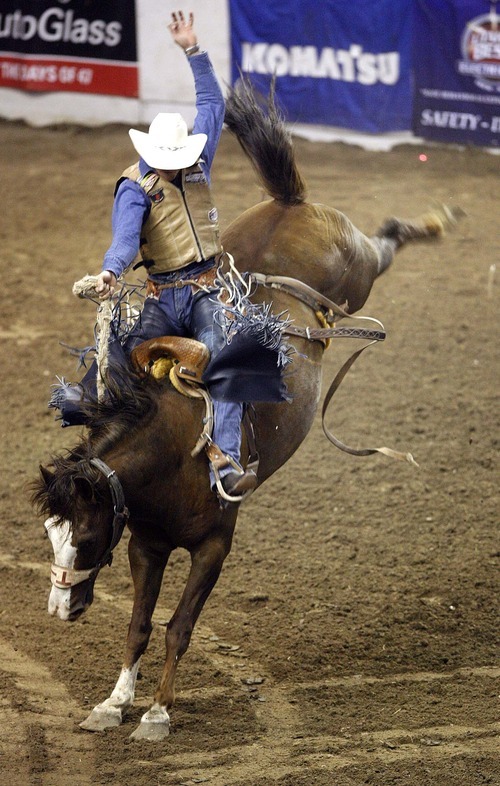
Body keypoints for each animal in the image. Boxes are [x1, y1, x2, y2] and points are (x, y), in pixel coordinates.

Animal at [32, 81, 460, 740]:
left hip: (358, 269)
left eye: (82, 533)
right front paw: (113, 701)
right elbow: (139, 624)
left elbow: (179, 627)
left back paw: (434, 222)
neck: (171, 458)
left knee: (385, 238)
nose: (59, 609)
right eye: (49, 534)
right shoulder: (146, 544)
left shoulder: (215, 544)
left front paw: (157, 711)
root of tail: (289, 203)